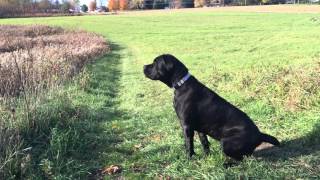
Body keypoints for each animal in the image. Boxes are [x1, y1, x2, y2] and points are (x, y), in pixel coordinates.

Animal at [143, 54, 280, 162]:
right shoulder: (199, 129)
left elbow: (189, 145)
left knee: (241, 159)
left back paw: (226, 164)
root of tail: (259, 134)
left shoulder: (186, 126)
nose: (144, 66)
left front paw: (188, 160)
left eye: (155, 62)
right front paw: (207, 157)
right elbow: (205, 143)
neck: (181, 83)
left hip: (226, 142)